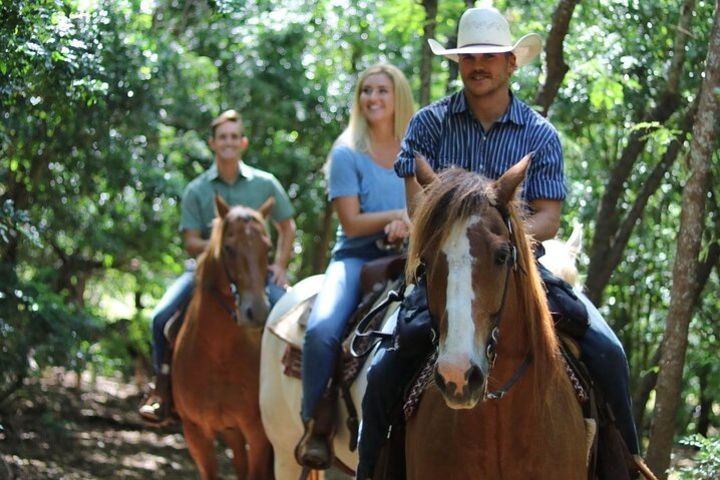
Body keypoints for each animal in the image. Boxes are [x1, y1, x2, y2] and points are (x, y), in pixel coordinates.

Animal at [172, 196, 276, 480]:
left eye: (268, 249)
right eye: (228, 248)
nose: (256, 312)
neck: (217, 355)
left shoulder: (258, 433)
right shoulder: (196, 432)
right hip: (231, 432)